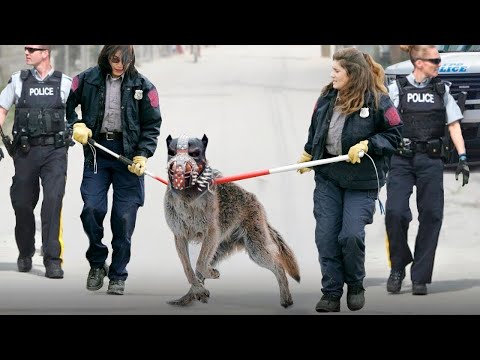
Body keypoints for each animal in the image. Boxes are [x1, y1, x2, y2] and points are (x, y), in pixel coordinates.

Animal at [165, 134, 300, 308]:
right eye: (172, 153)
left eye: (194, 154)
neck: (189, 200)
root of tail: (255, 200)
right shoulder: (180, 237)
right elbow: (189, 270)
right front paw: (200, 291)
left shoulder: (211, 233)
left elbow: (199, 264)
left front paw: (209, 280)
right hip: (220, 250)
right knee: (198, 272)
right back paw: (191, 296)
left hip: (255, 251)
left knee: (278, 266)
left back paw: (286, 299)